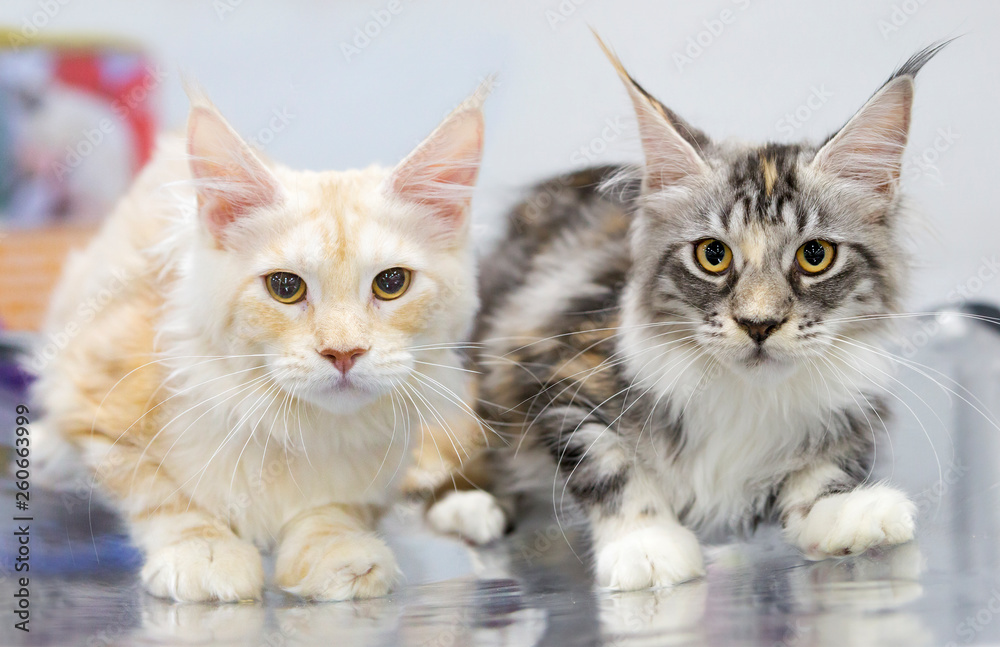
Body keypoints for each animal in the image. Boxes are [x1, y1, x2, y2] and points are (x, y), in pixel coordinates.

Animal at [30, 86, 484, 604]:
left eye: (391, 283)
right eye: (285, 287)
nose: (343, 353)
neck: (296, 425)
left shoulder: (375, 474)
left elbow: (333, 511)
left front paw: (337, 553)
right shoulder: (97, 389)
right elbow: (161, 496)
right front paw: (203, 552)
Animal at [428, 38, 944, 588]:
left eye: (815, 255)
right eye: (712, 255)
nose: (758, 324)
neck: (746, 397)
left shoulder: (857, 410)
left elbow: (823, 469)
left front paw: (845, 511)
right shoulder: (560, 375)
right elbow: (612, 469)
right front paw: (647, 545)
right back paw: (468, 508)